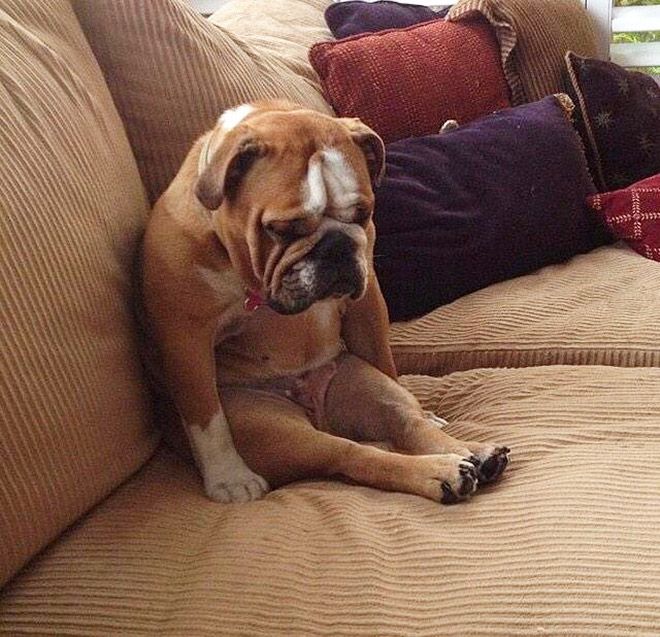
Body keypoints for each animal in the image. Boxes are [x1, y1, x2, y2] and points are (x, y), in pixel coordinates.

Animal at [141, 100, 510, 502]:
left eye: (364, 214)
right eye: (281, 229)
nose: (336, 244)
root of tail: (320, 415)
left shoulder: (367, 305)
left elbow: (383, 358)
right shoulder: (185, 337)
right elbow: (207, 419)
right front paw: (229, 477)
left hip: (363, 385)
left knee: (405, 423)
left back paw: (473, 454)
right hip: (275, 429)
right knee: (355, 455)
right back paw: (441, 472)